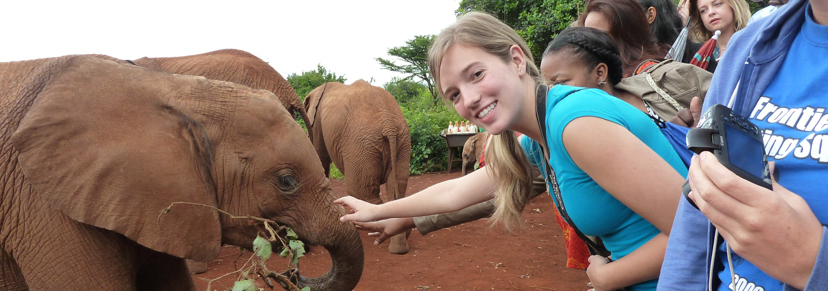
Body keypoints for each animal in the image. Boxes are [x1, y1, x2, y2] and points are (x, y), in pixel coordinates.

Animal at [304, 81, 410, 254]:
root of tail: (389, 124)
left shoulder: (318, 122)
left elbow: (320, 157)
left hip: (361, 145)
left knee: (362, 193)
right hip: (402, 142)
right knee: (396, 191)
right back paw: (400, 245)